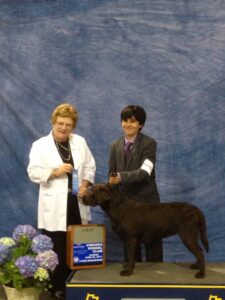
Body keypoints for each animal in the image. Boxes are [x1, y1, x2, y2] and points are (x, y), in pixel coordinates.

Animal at [81, 183, 209, 278]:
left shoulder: (131, 238)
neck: (117, 207)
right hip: (192, 235)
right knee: (199, 250)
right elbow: (132, 257)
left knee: (200, 252)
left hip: (188, 235)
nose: (81, 197)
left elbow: (131, 256)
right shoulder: (130, 240)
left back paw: (201, 274)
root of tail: (195, 209)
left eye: (92, 193)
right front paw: (128, 267)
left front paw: (127, 271)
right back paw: (196, 266)